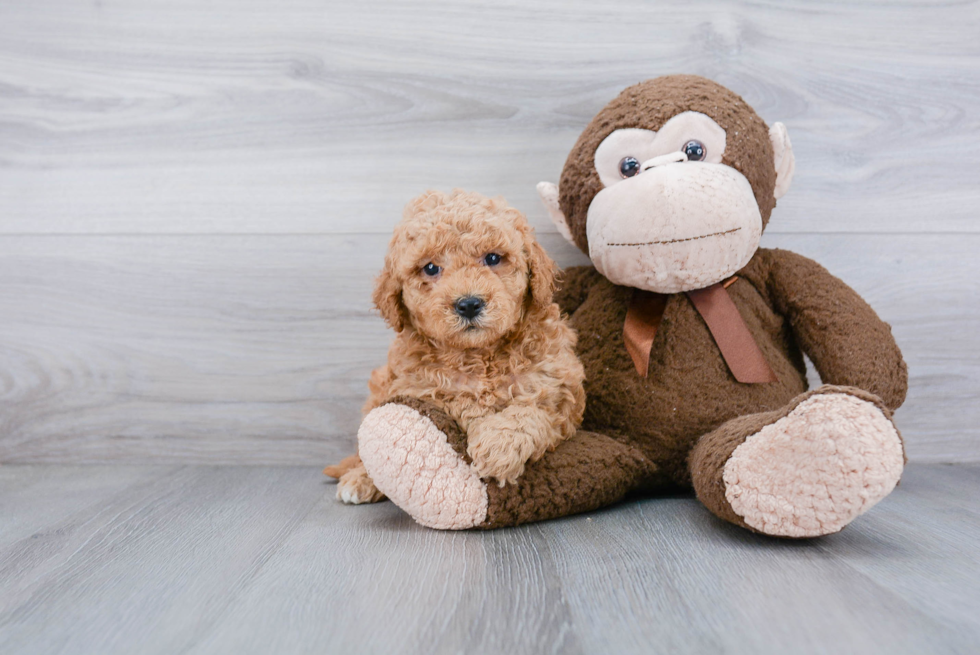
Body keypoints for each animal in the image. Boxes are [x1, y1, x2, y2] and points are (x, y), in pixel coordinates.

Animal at [330, 187, 584, 504]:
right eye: (430, 268)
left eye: (493, 258)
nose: (469, 304)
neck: (479, 355)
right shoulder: (416, 387)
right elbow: (455, 403)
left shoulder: (560, 394)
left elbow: (530, 413)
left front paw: (497, 447)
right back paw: (360, 479)